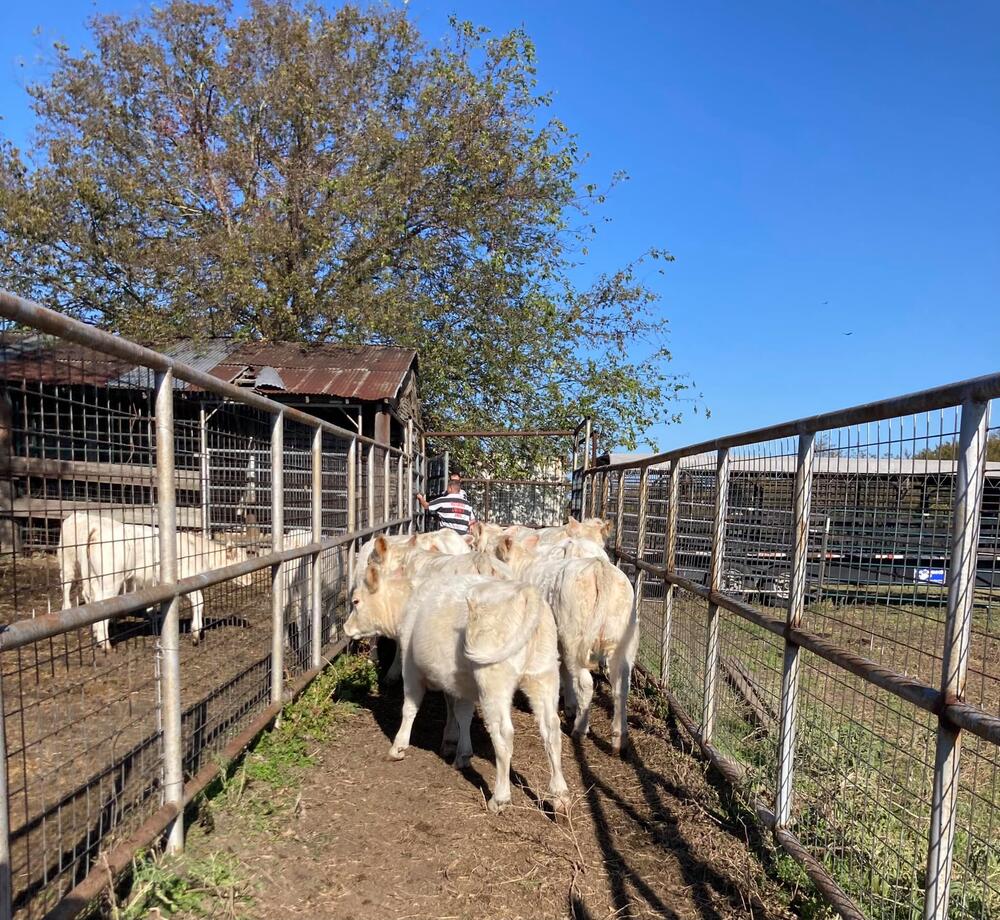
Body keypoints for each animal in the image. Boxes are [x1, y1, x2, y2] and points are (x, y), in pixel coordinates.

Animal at [346, 568, 572, 812]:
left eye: (356, 601)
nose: (346, 627)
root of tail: (525, 592)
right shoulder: (459, 680)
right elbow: (461, 712)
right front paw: (458, 748)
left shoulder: (411, 666)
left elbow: (410, 707)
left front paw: (398, 747)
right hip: (544, 675)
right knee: (551, 729)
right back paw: (560, 795)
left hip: (494, 682)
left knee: (504, 734)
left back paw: (500, 798)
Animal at [496, 532, 636, 756]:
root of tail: (599, 567)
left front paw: (569, 705)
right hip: (622, 640)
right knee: (621, 685)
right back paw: (618, 739)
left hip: (575, 638)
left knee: (585, 682)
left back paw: (580, 728)